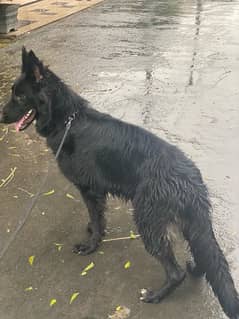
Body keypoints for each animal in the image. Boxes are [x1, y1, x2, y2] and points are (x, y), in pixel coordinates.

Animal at [0, 48, 238, 319]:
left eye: (19, 96)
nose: (0, 116)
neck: (69, 120)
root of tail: (192, 180)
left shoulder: (90, 191)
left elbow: (95, 218)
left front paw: (91, 245)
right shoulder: (96, 193)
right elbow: (97, 217)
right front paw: (94, 231)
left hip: (147, 222)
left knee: (176, 272)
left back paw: (156, 295)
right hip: (188, 226)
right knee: (202, 257)